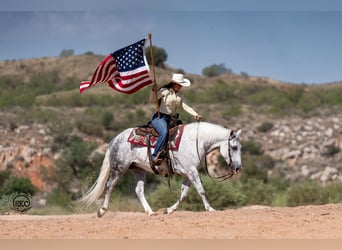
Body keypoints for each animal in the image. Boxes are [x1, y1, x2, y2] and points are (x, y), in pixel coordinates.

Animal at [80, 121, 242, 217]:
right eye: (234, 147)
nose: (238, 168)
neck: (196, 141)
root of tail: (115, 139)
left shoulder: (187, 173)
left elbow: (184, 194)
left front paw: (168, 210)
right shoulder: (192, 171)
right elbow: (201, 190)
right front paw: (210, 209)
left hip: (138, 170)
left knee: (138, 190)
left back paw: (150, 212)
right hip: (119, 168)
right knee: (109, 186)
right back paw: (102, 211)